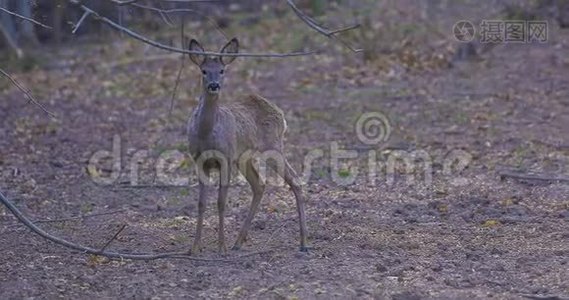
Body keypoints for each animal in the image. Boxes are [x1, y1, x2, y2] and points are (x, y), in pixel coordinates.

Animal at [186, 36, 308, 254]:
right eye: (204, 71)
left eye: (222, 70)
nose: (214, 85)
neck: (207, 134)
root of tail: (281, 115)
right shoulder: (199, 160)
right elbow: (201, 203)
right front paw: (195, 247)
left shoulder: (225, 158)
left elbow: (221, 202)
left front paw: (221, 247)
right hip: (245, 157)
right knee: (259, 185)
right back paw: (238, 242)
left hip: (272, 146)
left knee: (294, 179)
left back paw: (303, 243)